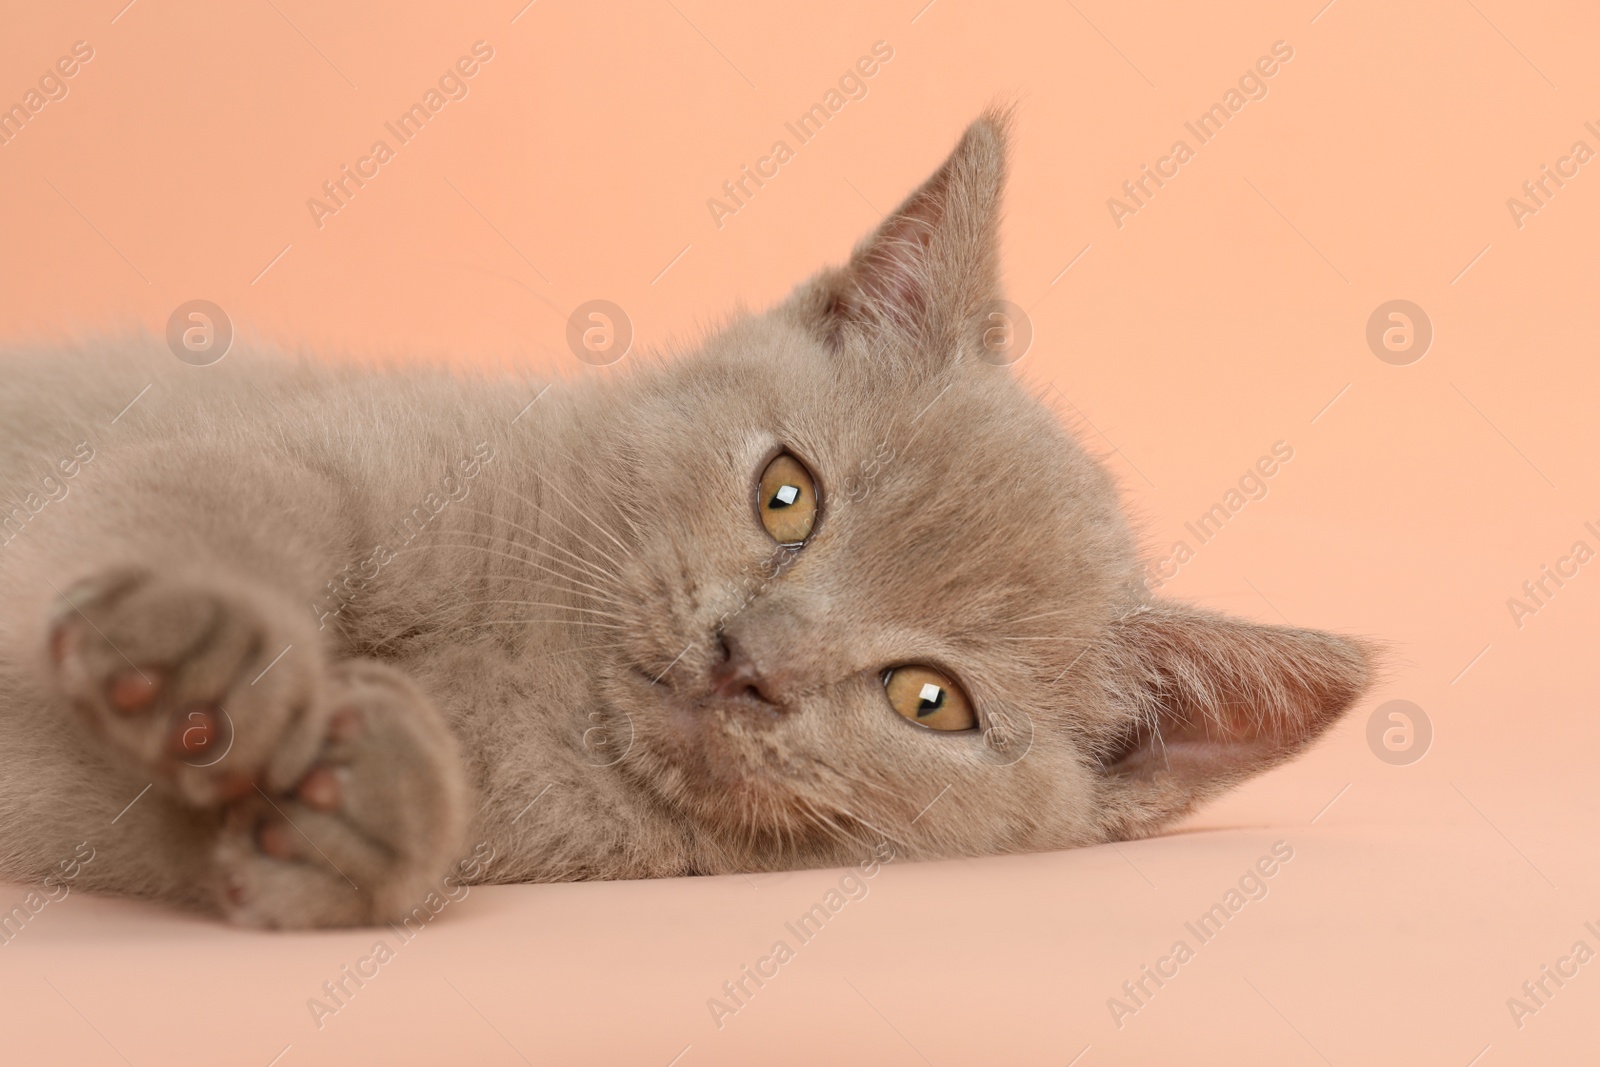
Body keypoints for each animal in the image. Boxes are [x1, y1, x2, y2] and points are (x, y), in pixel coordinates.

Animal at [0, 110, 1376, 927]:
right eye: (787, 493)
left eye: (928, 698)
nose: (747, 658)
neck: (539, 680)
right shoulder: (283, 450)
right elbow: (219, 494)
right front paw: (214, 646)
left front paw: (366, 808)